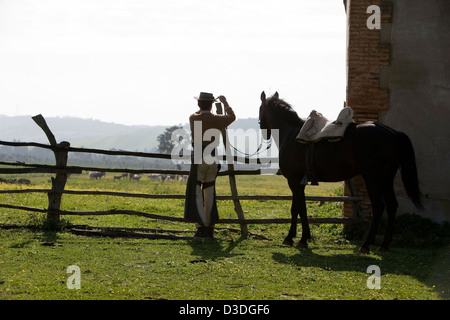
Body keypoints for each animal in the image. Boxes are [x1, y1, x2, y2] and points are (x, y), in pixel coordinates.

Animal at [258, 91, 424, 254]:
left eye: (260, 109)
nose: (263, 132)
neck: (291, 135)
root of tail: (392, 132)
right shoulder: (298, 182)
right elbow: (296, 209)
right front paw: (293, 237)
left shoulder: (293, 180)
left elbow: (300, 209)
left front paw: (301, 239)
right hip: (386, 179)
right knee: (392, 206)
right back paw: (384, 245)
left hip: (372, 179)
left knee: (378, 207)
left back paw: (366, 245)